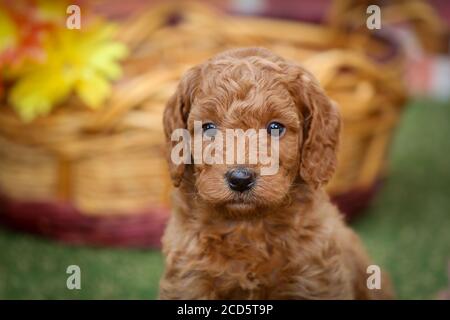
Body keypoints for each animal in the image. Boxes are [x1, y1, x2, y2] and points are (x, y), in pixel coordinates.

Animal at [160, 47, 392, 300]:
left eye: (275, 127)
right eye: (208, 127)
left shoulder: (315, 278)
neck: (247, 225)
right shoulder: (189, 278)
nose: (240, 179)